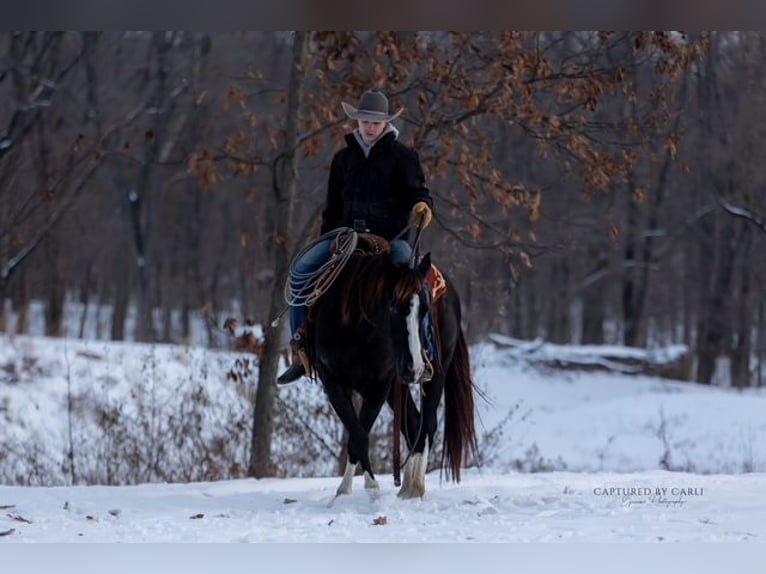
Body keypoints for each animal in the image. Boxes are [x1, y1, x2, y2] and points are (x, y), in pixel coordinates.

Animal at [305, 249, 478, 499]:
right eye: (393, 307)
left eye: (425, 310)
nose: (415, 367)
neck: (359, 332)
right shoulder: (333, 382)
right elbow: (358, 433)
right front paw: (352, 489)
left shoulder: (379, 386)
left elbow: (359, 435)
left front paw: (365, 488)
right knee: (414, 424)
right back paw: (406, 486)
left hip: (436, 375)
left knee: (427, 424)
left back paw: (415, 487)